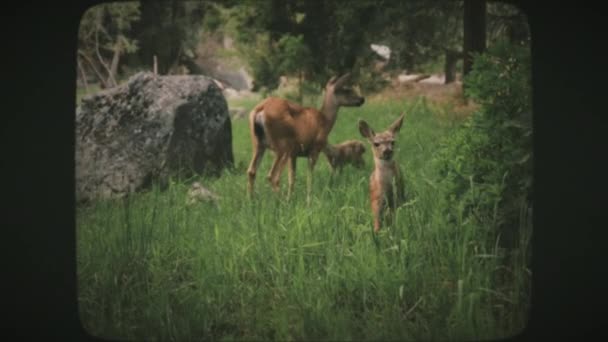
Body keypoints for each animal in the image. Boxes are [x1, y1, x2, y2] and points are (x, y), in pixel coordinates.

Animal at [247, 72, 366, 204]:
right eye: (346, 89)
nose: (362, 99)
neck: (325, 120)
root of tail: (260, 109)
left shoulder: (294, 154)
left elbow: (292, 178)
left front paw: (291, 197)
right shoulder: (314, 149)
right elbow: (310, 175)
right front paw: (309, 200)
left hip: (258, 143)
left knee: (251, 171)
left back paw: (252, 201)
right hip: (282, 145)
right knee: (272, 176)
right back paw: (281, 202)